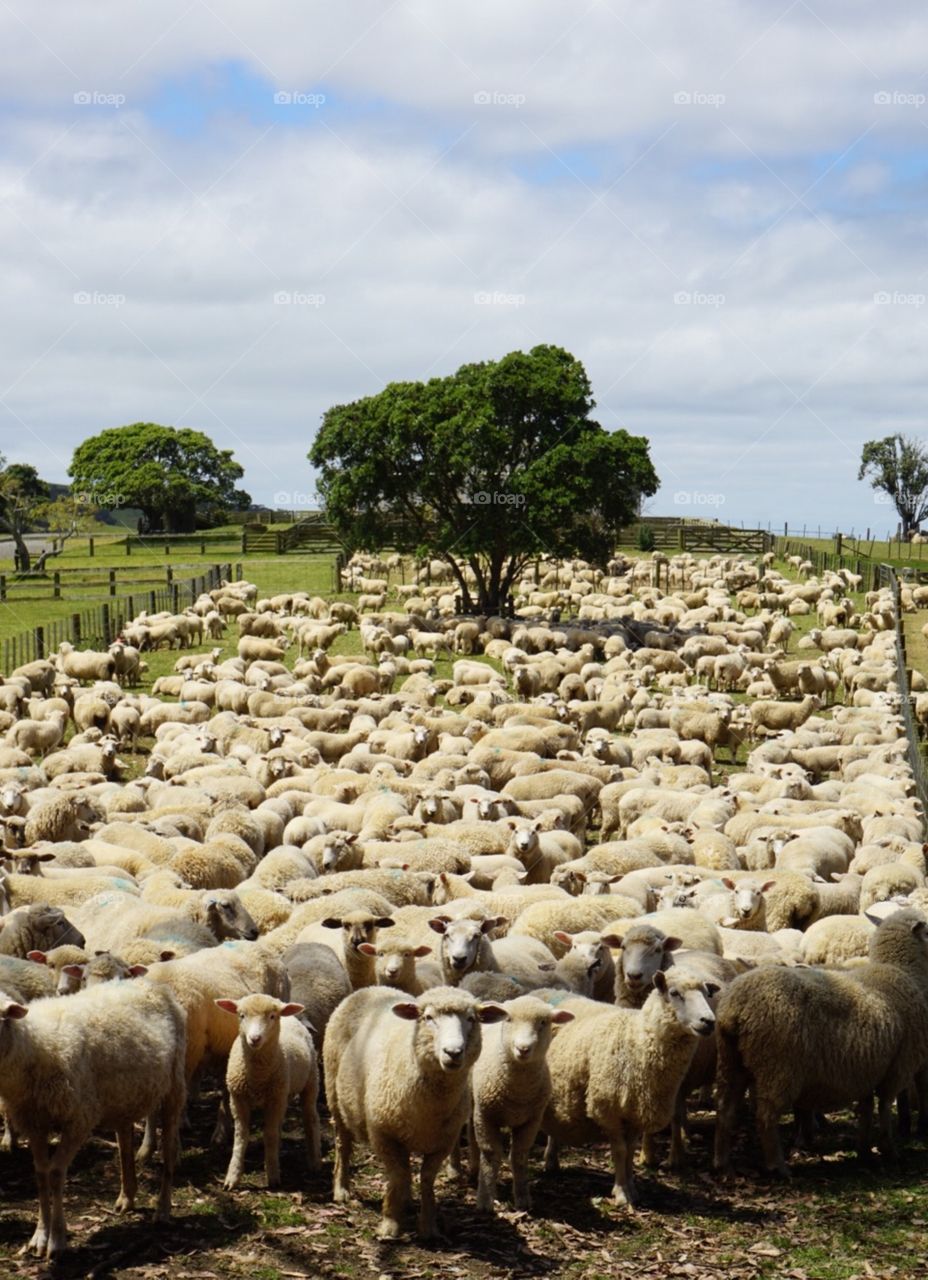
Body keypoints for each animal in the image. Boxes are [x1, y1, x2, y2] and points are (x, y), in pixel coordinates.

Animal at [0, 977, 186, 1259]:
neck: (35, 1046)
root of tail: (148, 983)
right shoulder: (35, 1122)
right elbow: (41, 1174)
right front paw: (39, 1237)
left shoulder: (79, 1120)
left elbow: (56, 1173)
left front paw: (57, 1241)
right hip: (125, 1093)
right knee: (124, 1142)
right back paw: (126, 1196)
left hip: (174, 1084)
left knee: (170, 1149)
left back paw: (162, 1209)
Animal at [215, 988, 320, 1187]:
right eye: (241, 1015)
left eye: (272, 1016)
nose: (255, 1039)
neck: (257, 1075)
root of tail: (290, 1015)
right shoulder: (238, 1099)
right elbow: (241, 1136)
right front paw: (233, 1176)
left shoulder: (274, 1100)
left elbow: (269, 1135)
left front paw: (272, 1176)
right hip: (283, 1092)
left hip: (310, 1083)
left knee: (310, 1120)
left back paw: (314, 1162)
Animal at [320, 977, 506, 1239]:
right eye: (428, 1017)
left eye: (471, 1019)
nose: (453, 1052)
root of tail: (372, 988)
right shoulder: (384, 1134)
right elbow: (398, 1176)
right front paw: (390, 1224)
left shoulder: (443, 1142)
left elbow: (425, 1179)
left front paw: (428, 1226)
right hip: (333, 1093)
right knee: (343, 1145)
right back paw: (341, 1189)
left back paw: (406, 1200)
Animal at [471, 993, 570, 1213]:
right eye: (508, 1019)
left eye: (543, 1022)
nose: (523, 1049)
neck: (518, 1093)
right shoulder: (485, 1115)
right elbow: (490, 1155)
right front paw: (485, 1200)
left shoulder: (531, 1121)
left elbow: (519, 1156)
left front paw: (523, 1199)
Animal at [540, 967, 721, 1208]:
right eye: (674, 993)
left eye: (706, 993)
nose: (708, 1021)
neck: (636, 1039)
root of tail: (544, 990)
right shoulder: (607, 1109)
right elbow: (619, 1150)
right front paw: (621, 1193)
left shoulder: (636, 1111)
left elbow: (630, 1151)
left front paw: (632, 1189)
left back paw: (552, 1160)